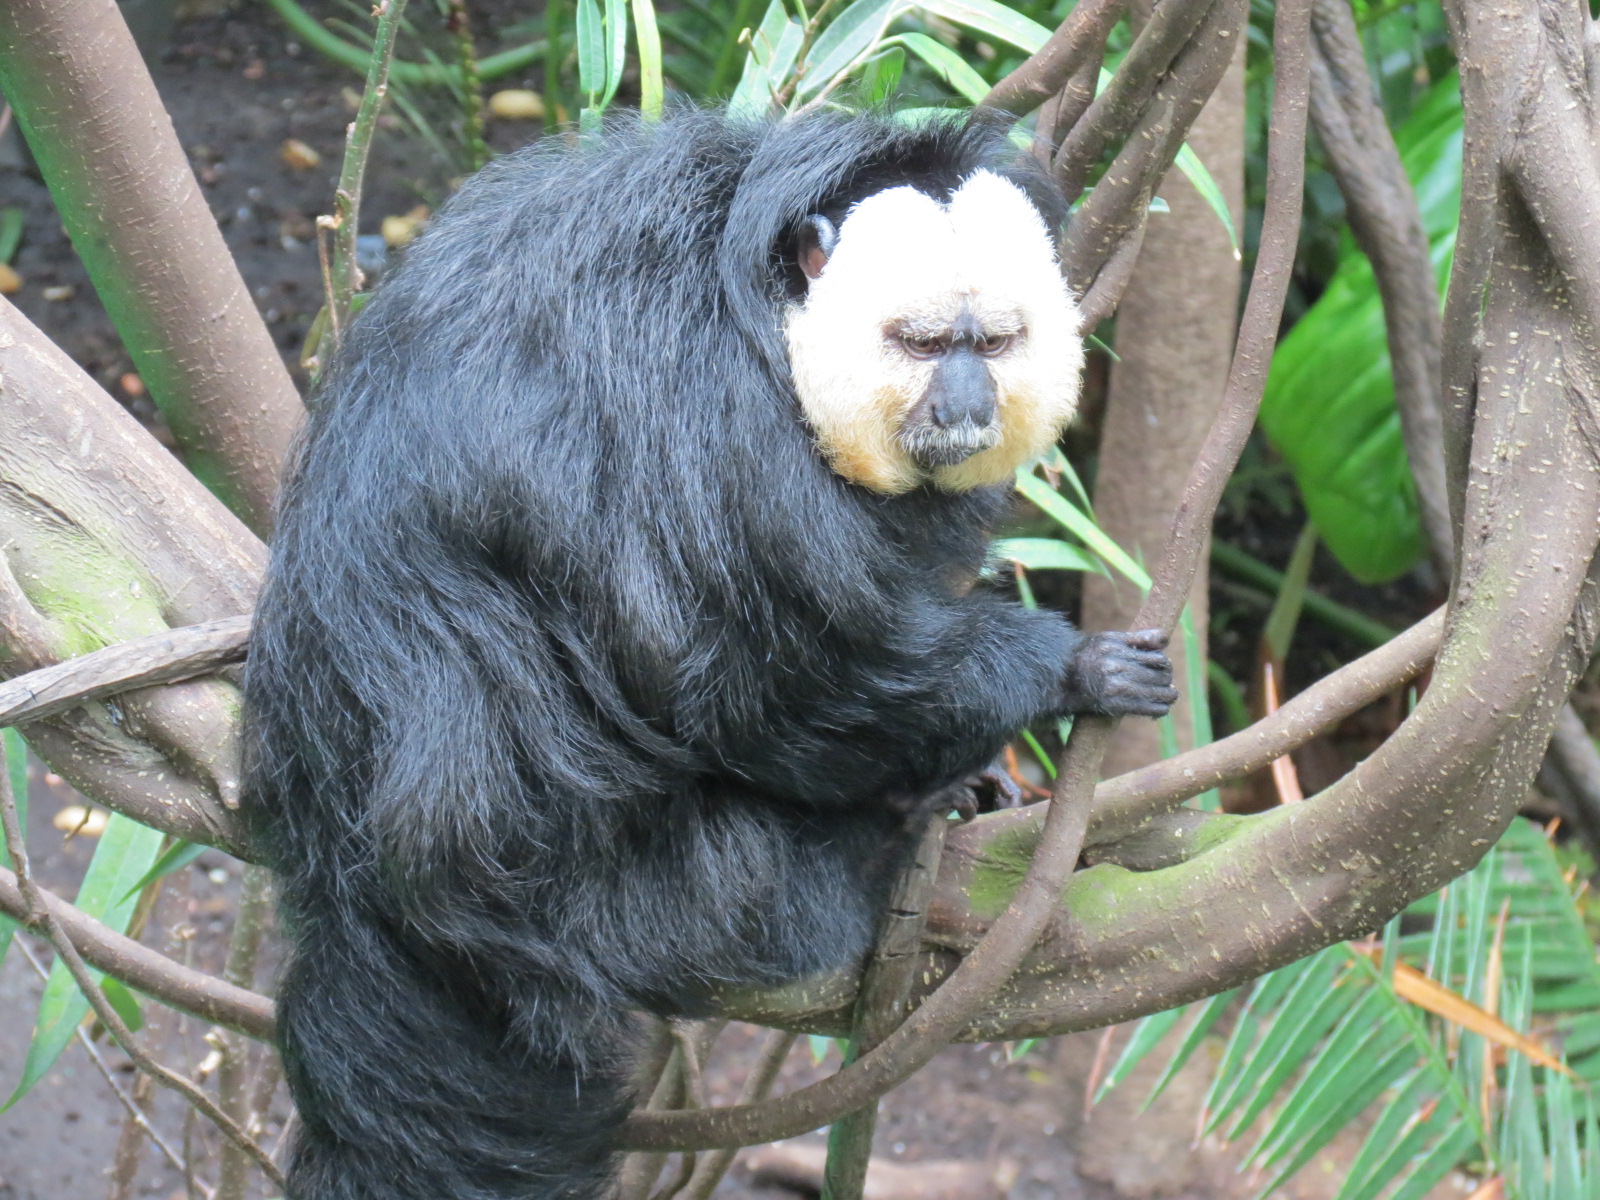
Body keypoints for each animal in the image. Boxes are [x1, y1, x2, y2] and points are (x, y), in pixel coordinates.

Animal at [242, 108, 1176, 1200]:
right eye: (922, 344)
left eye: (992, 343)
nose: (965, 406)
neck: (759, 307)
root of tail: (349, 865)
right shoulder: (707, 406)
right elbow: (770, 682)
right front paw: (1065, 672)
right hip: (620, 893)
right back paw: (881, 841)